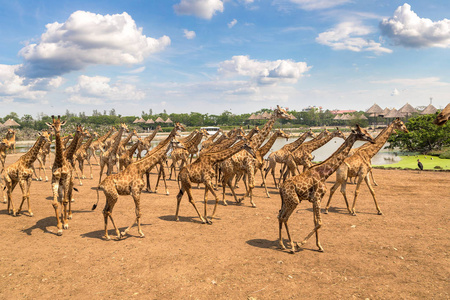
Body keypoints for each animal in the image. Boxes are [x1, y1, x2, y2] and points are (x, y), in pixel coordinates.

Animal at [278, 124, 376, 253]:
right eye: (363, 133)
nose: (373, 140)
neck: (324, 173)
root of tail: (281, 188)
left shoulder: (315, 199)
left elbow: (315, 221)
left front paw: (319, 246)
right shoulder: (317, 198)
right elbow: (319, 223)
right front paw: (300, 244)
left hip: (286, 201)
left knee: (280, 216)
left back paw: (282, 244)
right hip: (294, 201)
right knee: (285, 218)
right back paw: (293, 247)